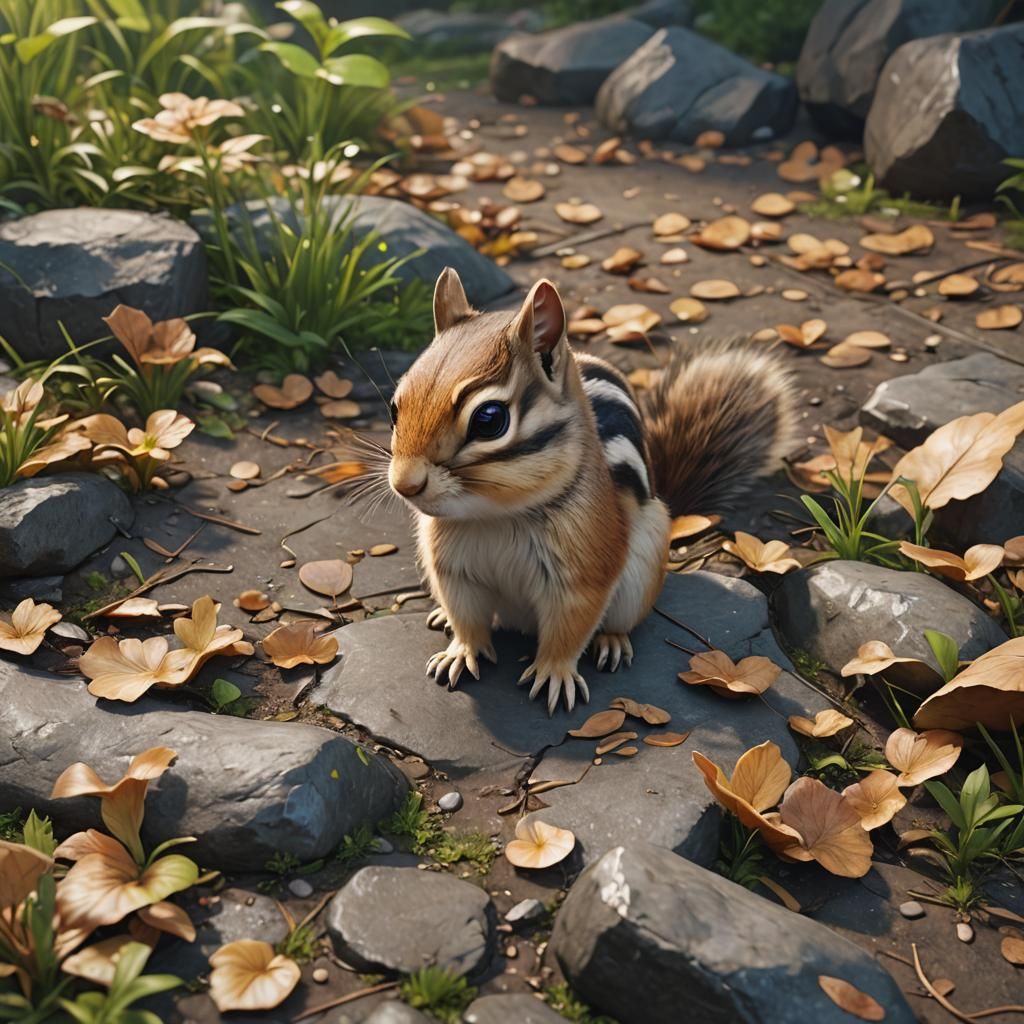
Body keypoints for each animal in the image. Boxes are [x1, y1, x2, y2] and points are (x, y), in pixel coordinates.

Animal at [384, 267, 796, 714]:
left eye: (489, 419)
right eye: (395, 407)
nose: (405, 484)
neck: (497, 515)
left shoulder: (584, 573)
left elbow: (570, 629)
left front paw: (554, 672)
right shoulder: (453, 570)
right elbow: (467, 618)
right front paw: (460, 651)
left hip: (640, 574)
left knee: (621, 620)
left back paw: (612, 641)